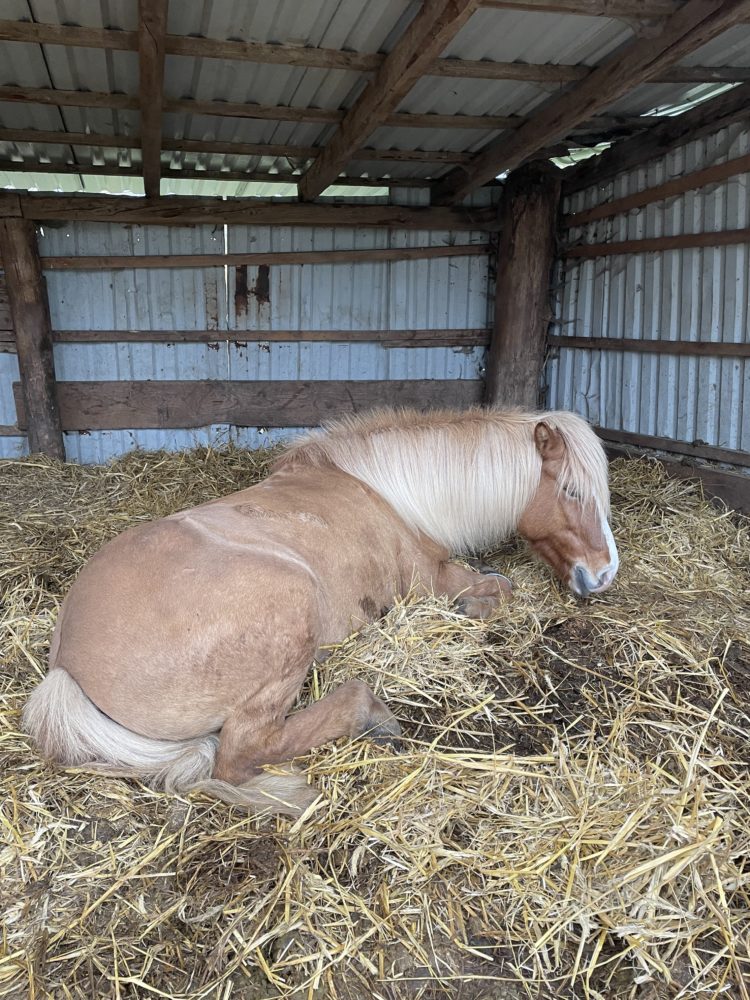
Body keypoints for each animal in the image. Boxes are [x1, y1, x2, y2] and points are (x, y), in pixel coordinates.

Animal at [25, 404, 624, 812]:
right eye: (572, 491)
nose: (603, 573)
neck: (395, 495)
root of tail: (65, 666)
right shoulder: (433, 580)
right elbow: (499, 591)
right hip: (293, 608)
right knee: (241, 753)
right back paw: (372, 715)